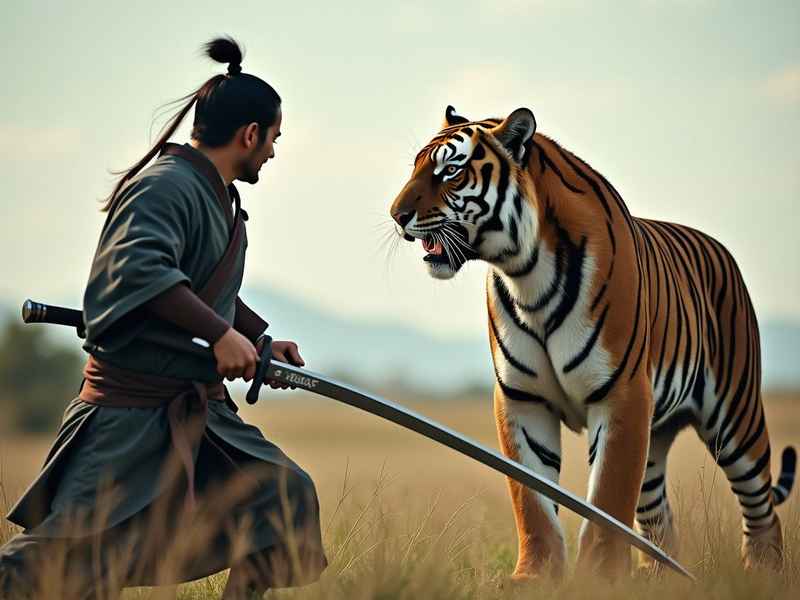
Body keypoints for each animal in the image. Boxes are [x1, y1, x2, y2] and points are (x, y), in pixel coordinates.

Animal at [389, 105, 797, 579]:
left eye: (450, 171)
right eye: (415, 168)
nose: (396, 214)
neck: (527, 274)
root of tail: (719, 248)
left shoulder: (621, 394)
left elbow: (607, 500)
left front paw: (598, 577)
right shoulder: (522, 398)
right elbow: (531, 499)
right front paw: (536, 575)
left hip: (734, 420)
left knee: (760, 505)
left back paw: (761, 574)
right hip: (655, 440)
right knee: (659, 518)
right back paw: (656, 577)